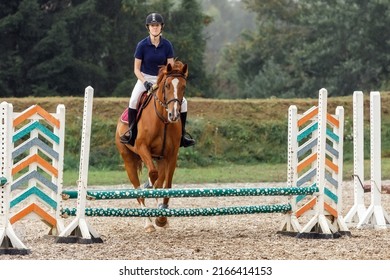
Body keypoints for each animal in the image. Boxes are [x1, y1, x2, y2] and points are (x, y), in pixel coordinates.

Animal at [115, 59, 188, 232]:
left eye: (184, 86)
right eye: (167, 85)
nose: (174, 115)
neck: (163, 120)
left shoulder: (171, 155)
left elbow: (166, 185)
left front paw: (162, 218)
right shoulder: (142, 148)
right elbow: (152, 174)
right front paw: (147, 184)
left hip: (160, 159)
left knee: (158, 184)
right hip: (128, 160)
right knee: (138, 190)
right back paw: (148, 223)